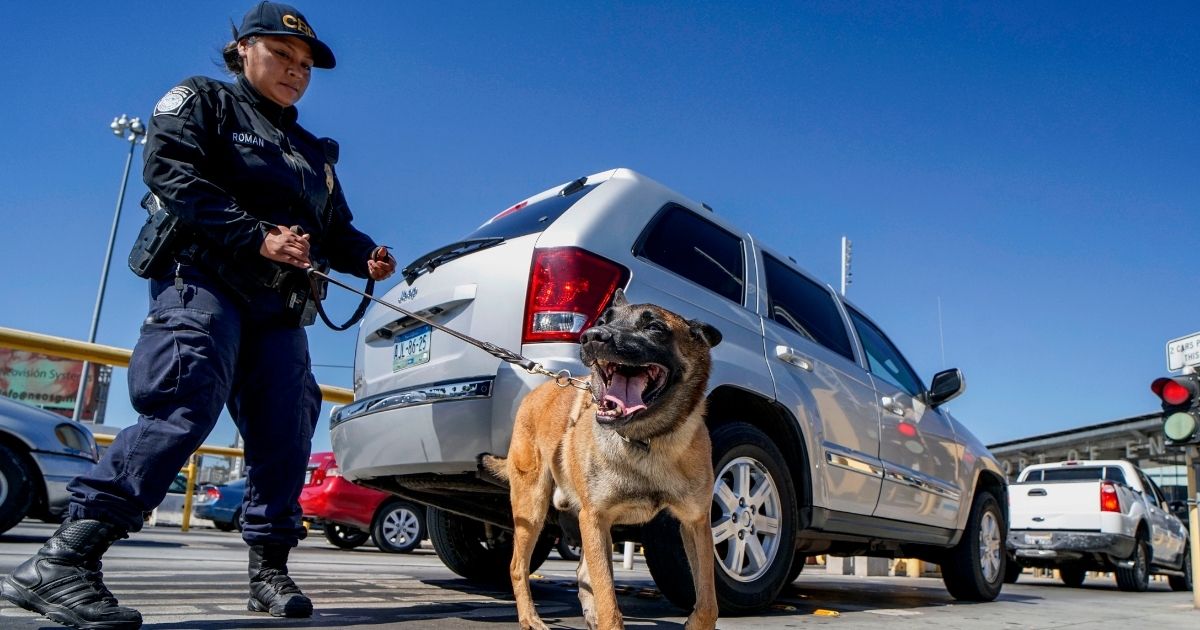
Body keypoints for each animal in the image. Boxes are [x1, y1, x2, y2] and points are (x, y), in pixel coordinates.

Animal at [480, 289, 720, 628]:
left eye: (654, 328)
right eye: (604, 320)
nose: (592, 336)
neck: (647, 440)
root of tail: (538, 391)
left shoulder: (695, 522)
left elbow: (709, 601)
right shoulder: (595, 519)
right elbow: (609, 601)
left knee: (582, 572)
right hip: (532, 509)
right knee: (517, 566)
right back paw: (530, 618)